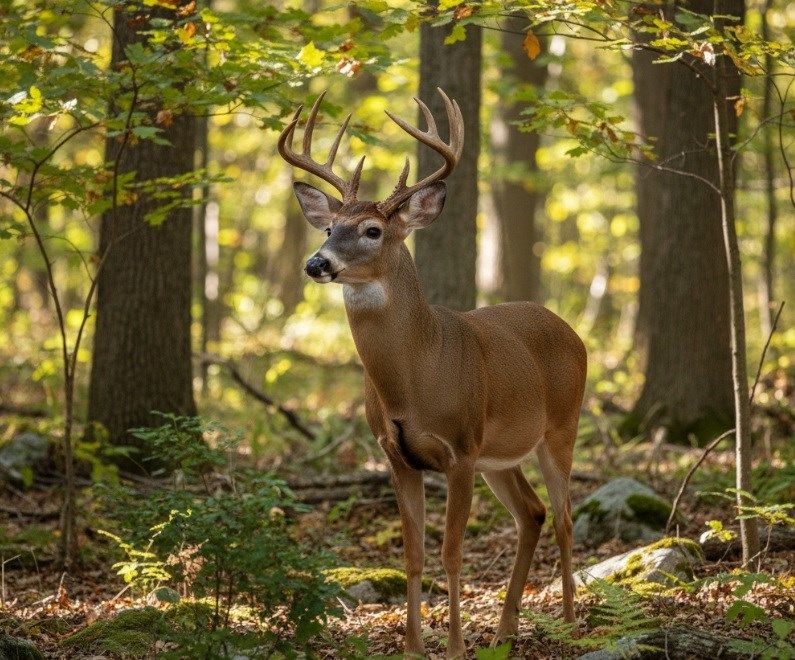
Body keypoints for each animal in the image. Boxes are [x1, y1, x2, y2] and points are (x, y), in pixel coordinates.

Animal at [278, 88, 587, 658]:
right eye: (330, 227)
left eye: (373, 230)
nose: (316, 263)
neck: (414, 377)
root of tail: (571, 330)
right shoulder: (397, 454)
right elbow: (414, 555)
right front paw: (413, 647)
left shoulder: (459, 448)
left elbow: (451, 554)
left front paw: (456, 647)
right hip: (499, 454)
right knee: (531, 512)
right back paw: (506, 630)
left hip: (561, 426)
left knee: (563, 517)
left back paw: (573, 621)